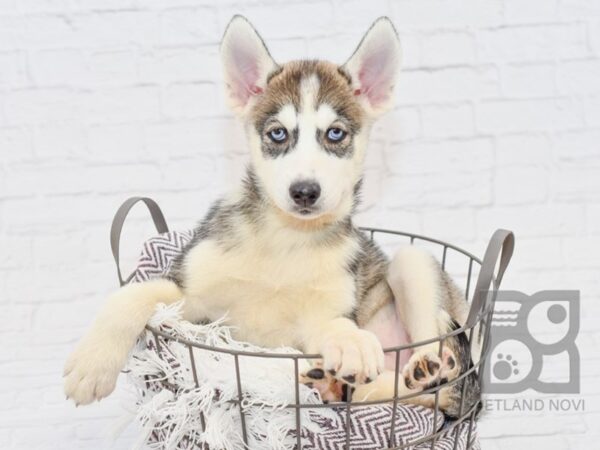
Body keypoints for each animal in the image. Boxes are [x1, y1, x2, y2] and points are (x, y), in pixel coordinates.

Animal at [64, 16, 478, 418]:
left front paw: (353, 342)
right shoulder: (192, 302)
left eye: (335, 133)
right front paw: (91, 365)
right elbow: (134, 294)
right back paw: (335, 384)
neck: (284, 241)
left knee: (439, 378)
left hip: (415, 264)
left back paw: (430, 368)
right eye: (278, 134)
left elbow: (336, 325)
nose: (305, 191)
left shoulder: (318, 318)